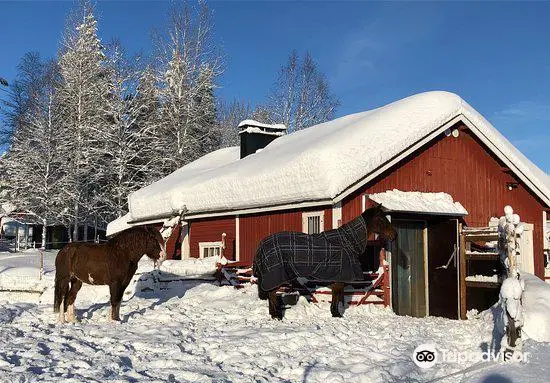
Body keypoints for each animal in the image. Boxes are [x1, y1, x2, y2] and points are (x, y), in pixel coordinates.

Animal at [252, 206, 398, 320]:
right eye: (382, 219)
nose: (395, 235)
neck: (347, 241)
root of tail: (261, 245)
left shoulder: (337, 278)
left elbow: (336, 295)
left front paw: (335, 313)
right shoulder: (339, 277)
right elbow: (336, 296)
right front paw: (336, 314)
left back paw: (274, 314)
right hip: (275, 275)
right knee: (272, 293)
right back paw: (276, 315)